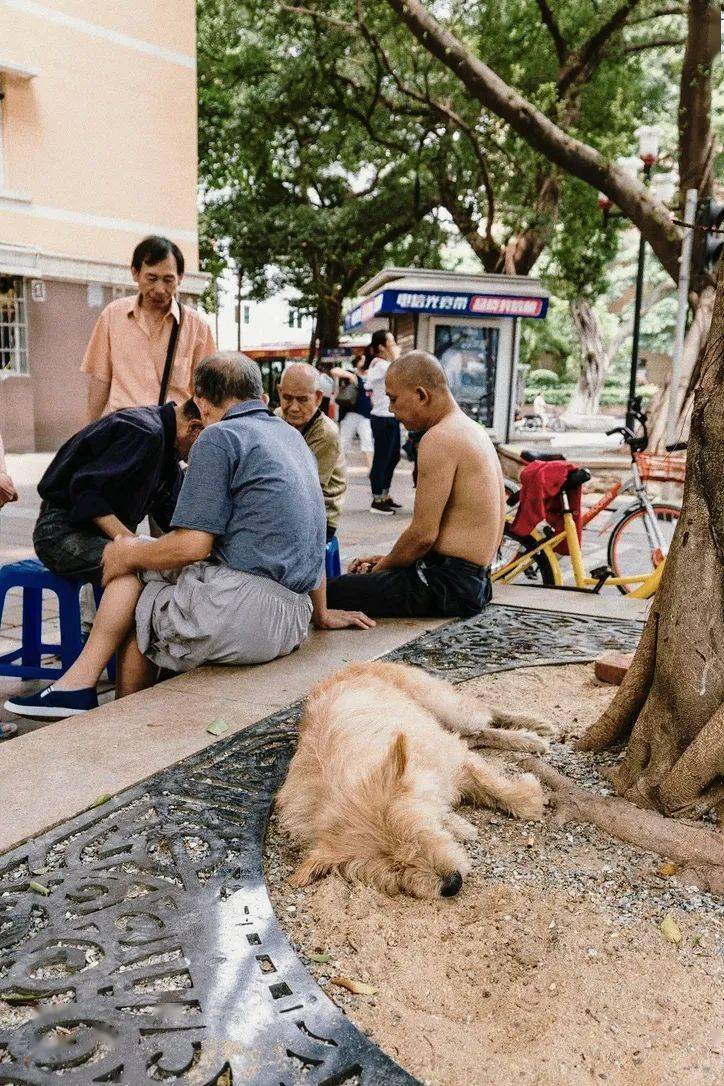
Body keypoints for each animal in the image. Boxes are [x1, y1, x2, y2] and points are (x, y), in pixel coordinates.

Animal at [277, 660, 549, 899]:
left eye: (419, 835)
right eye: (396, 871)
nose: (452, 884)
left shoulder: (454, 759)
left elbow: (509, 795)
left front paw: (529, 793)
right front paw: (459, 825)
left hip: (448, 707)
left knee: (486, 713)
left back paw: (534, 730)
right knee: (478, 734)